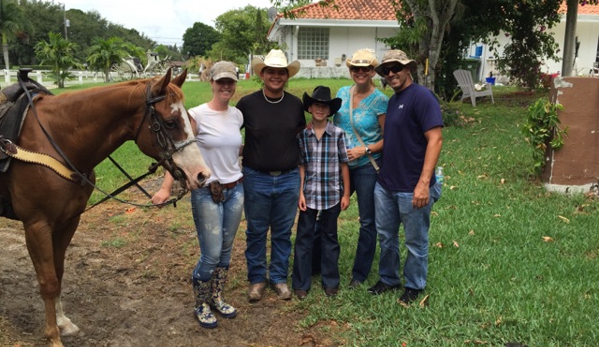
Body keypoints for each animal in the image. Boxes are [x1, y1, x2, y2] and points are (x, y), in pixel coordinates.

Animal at [0, 68, 212, 347]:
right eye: (170, 123)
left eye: (188, 118)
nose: (201, 174)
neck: (55, 141)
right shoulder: (37, 225)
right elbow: (47, 281)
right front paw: (53, 336)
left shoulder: (68, 221)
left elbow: (58, 273)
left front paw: (62, 322)